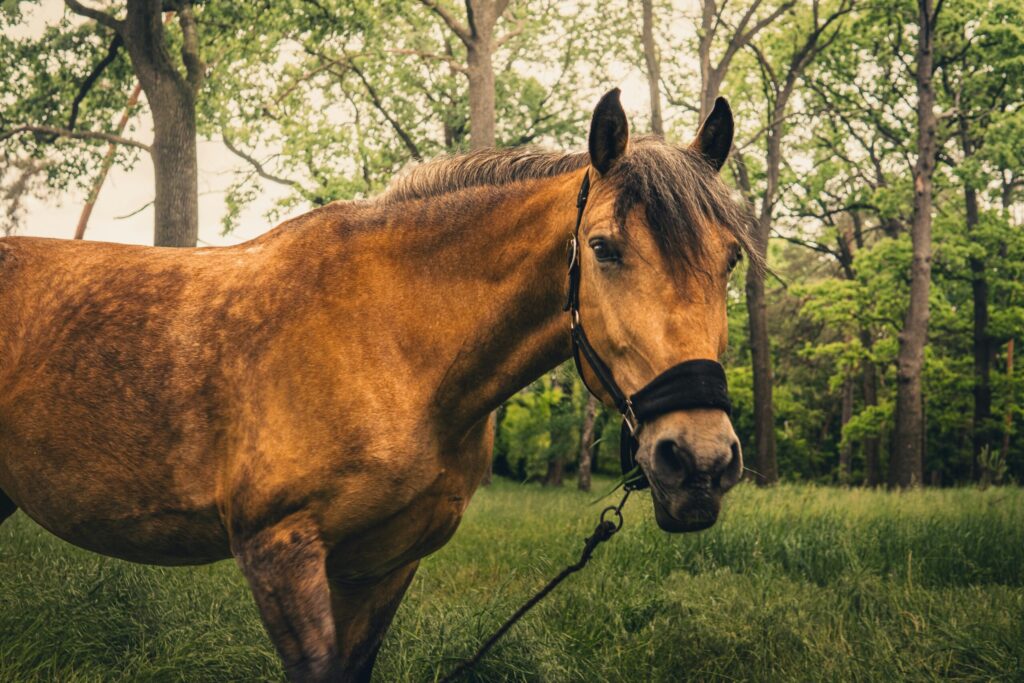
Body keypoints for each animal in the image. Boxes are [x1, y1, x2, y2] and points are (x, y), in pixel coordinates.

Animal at [0, 90, 752, 681]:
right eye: (602, 248)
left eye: (731, 258)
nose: (700, 460)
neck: (393, 344)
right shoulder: (280, 552)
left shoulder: (383, 565)